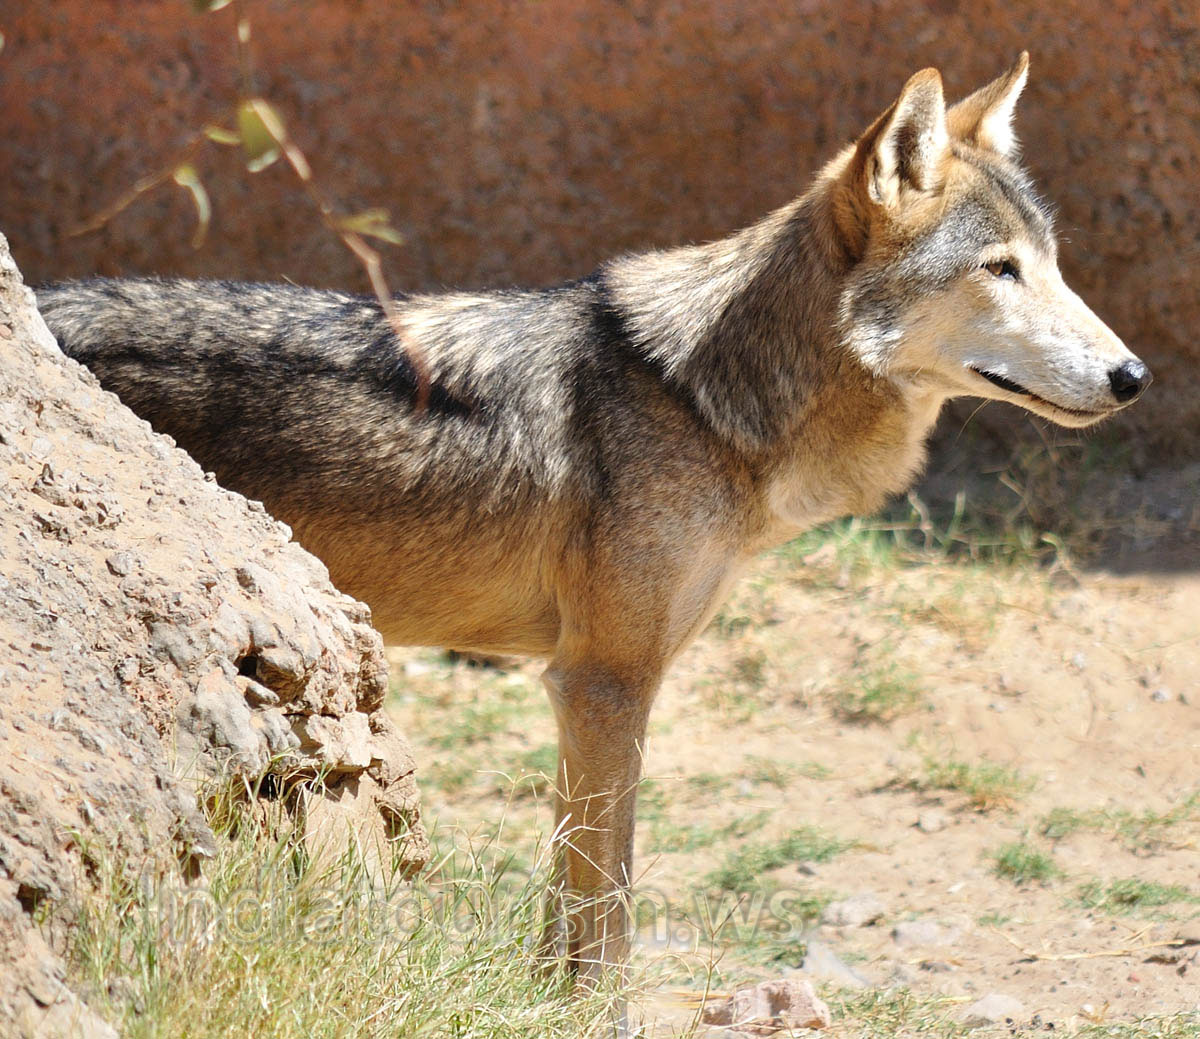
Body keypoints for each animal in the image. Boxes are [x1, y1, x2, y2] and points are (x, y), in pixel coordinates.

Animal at [38, 53, 1149, 982]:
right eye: (998, 269)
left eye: (1052, 262)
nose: (1133, 376)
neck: (706, 400)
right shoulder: (606, 682)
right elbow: (606, 902)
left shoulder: (591, 685)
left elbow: (568, 889)